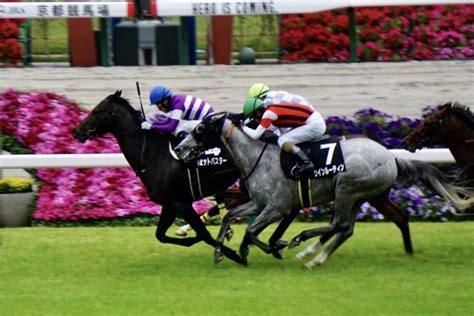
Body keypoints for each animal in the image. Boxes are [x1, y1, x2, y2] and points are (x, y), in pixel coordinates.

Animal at [72, 90, 246, 266]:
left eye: (97, 111)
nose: (75, 131)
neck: (154, 155)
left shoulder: (181, 203)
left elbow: (204, 234)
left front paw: (233, 254)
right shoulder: (169, 204)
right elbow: (160, 235)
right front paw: (194, 238)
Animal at [175, 112, 474, 268]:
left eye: (200, 128)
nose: (179, 148)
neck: (255, 157)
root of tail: (392, 158)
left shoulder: (277, 207)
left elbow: (251, 230)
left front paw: (266, 248)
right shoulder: (259, 204)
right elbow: (230, 216)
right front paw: (221, 251)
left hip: (347, 189)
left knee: (340, 223)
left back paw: (302, 244)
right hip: (359, 196)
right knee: (346, 228)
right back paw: (314, 257)